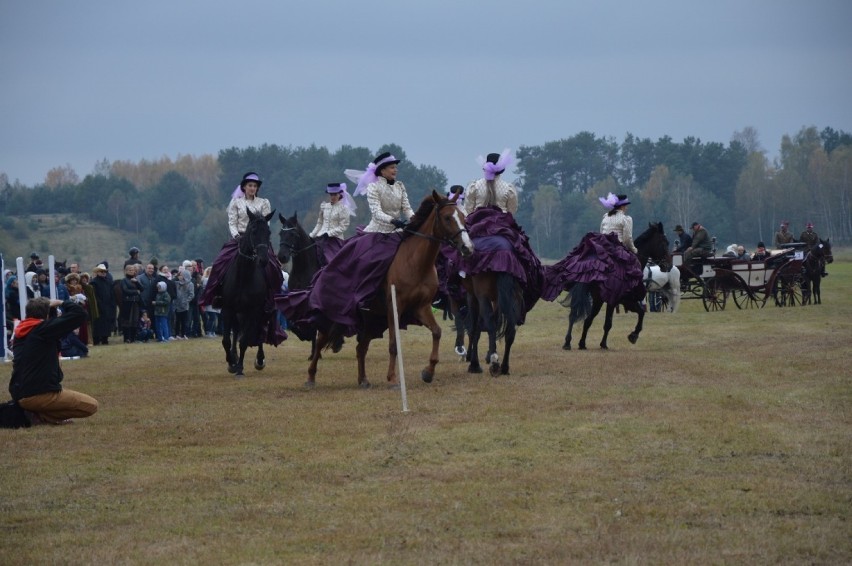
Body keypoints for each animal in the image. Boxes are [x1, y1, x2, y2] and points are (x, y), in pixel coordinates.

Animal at [218, 209, 274, 378]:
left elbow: (245, 340)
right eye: (254, 231)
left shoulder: (253, 310)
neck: (243, 276)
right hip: (237, 313)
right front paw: (231, 362)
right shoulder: (228, 309)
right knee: (236, 331)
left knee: (259, 332)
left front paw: (240, 368)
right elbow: (226, 340)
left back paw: (260, 360)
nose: (263, 260)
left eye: (268, 232)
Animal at [308, 191, 480, 390]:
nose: (468, 248)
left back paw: (363, 380)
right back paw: (310, 377)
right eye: (447, 218)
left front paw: (428, 372)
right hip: (335, 315)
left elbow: (437, 331)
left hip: (371, 320)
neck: (415, 262)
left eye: (462, 217)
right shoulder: (394, 307)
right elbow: (393, 344)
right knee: (320, 341)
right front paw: (392, 379)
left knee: (361, 348)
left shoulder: (421, 307)